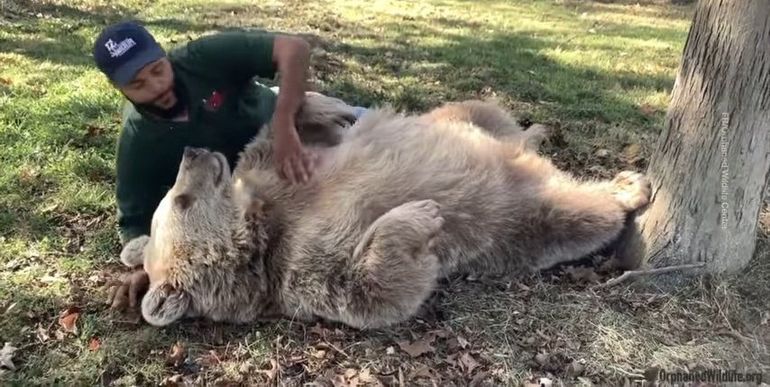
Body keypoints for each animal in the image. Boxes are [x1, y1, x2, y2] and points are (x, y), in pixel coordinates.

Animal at [115, 100, 648, 330]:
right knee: (577, 215)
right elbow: (374, 294)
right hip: (517, 221)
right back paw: (628, 187)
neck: (264, 227)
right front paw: (423, 217)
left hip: (461, 117)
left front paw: (325, 108)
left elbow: (279, 135)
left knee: (488, 114)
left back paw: (540, 131)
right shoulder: (297, 269)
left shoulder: (280, 174)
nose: (194, 151)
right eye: (179, 200)